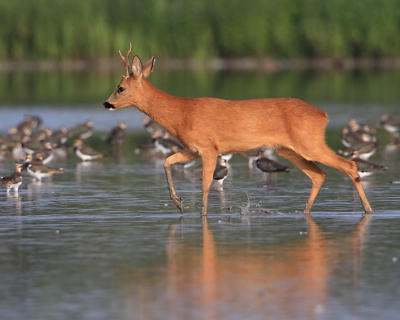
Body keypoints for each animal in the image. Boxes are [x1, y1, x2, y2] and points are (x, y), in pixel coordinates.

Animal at [102, 43, 372, 215]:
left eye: (120, 88)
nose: (106, 103)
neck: (181, 113)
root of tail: (323, 115)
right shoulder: (192, 148)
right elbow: (168, 161)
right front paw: (178, 203)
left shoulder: (209, 147)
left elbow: (205, 183)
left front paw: (202, 214)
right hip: (289, 149)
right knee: (319, 175)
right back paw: (304, 212)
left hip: (309, 143)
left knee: (349, 165)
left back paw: (368, 210)